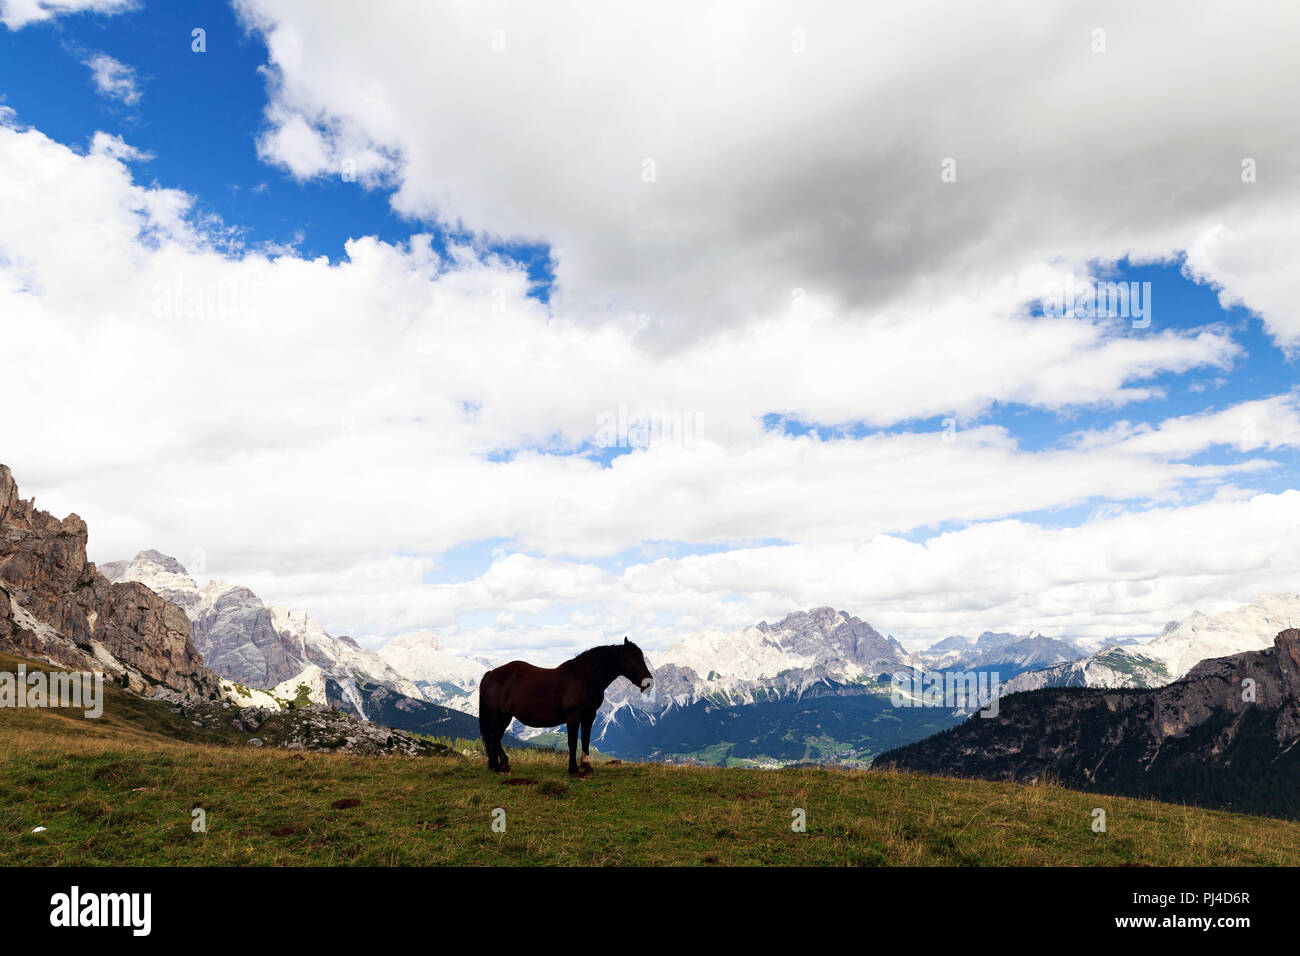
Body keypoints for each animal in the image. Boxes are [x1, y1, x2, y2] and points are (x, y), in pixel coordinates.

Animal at [478, 634, 655, 780]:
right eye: (634, 658)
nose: (648, 683)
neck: (585, 677)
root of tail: (490, 674)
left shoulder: (589, 715)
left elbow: (585, 739)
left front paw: (587, 767)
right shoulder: (573, 716)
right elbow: (573, 742)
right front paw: (574, 770)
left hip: (504, 716)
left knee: (494, 738)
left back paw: (497, 766)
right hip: (499, 715)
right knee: (494, 737)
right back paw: (504, 765)